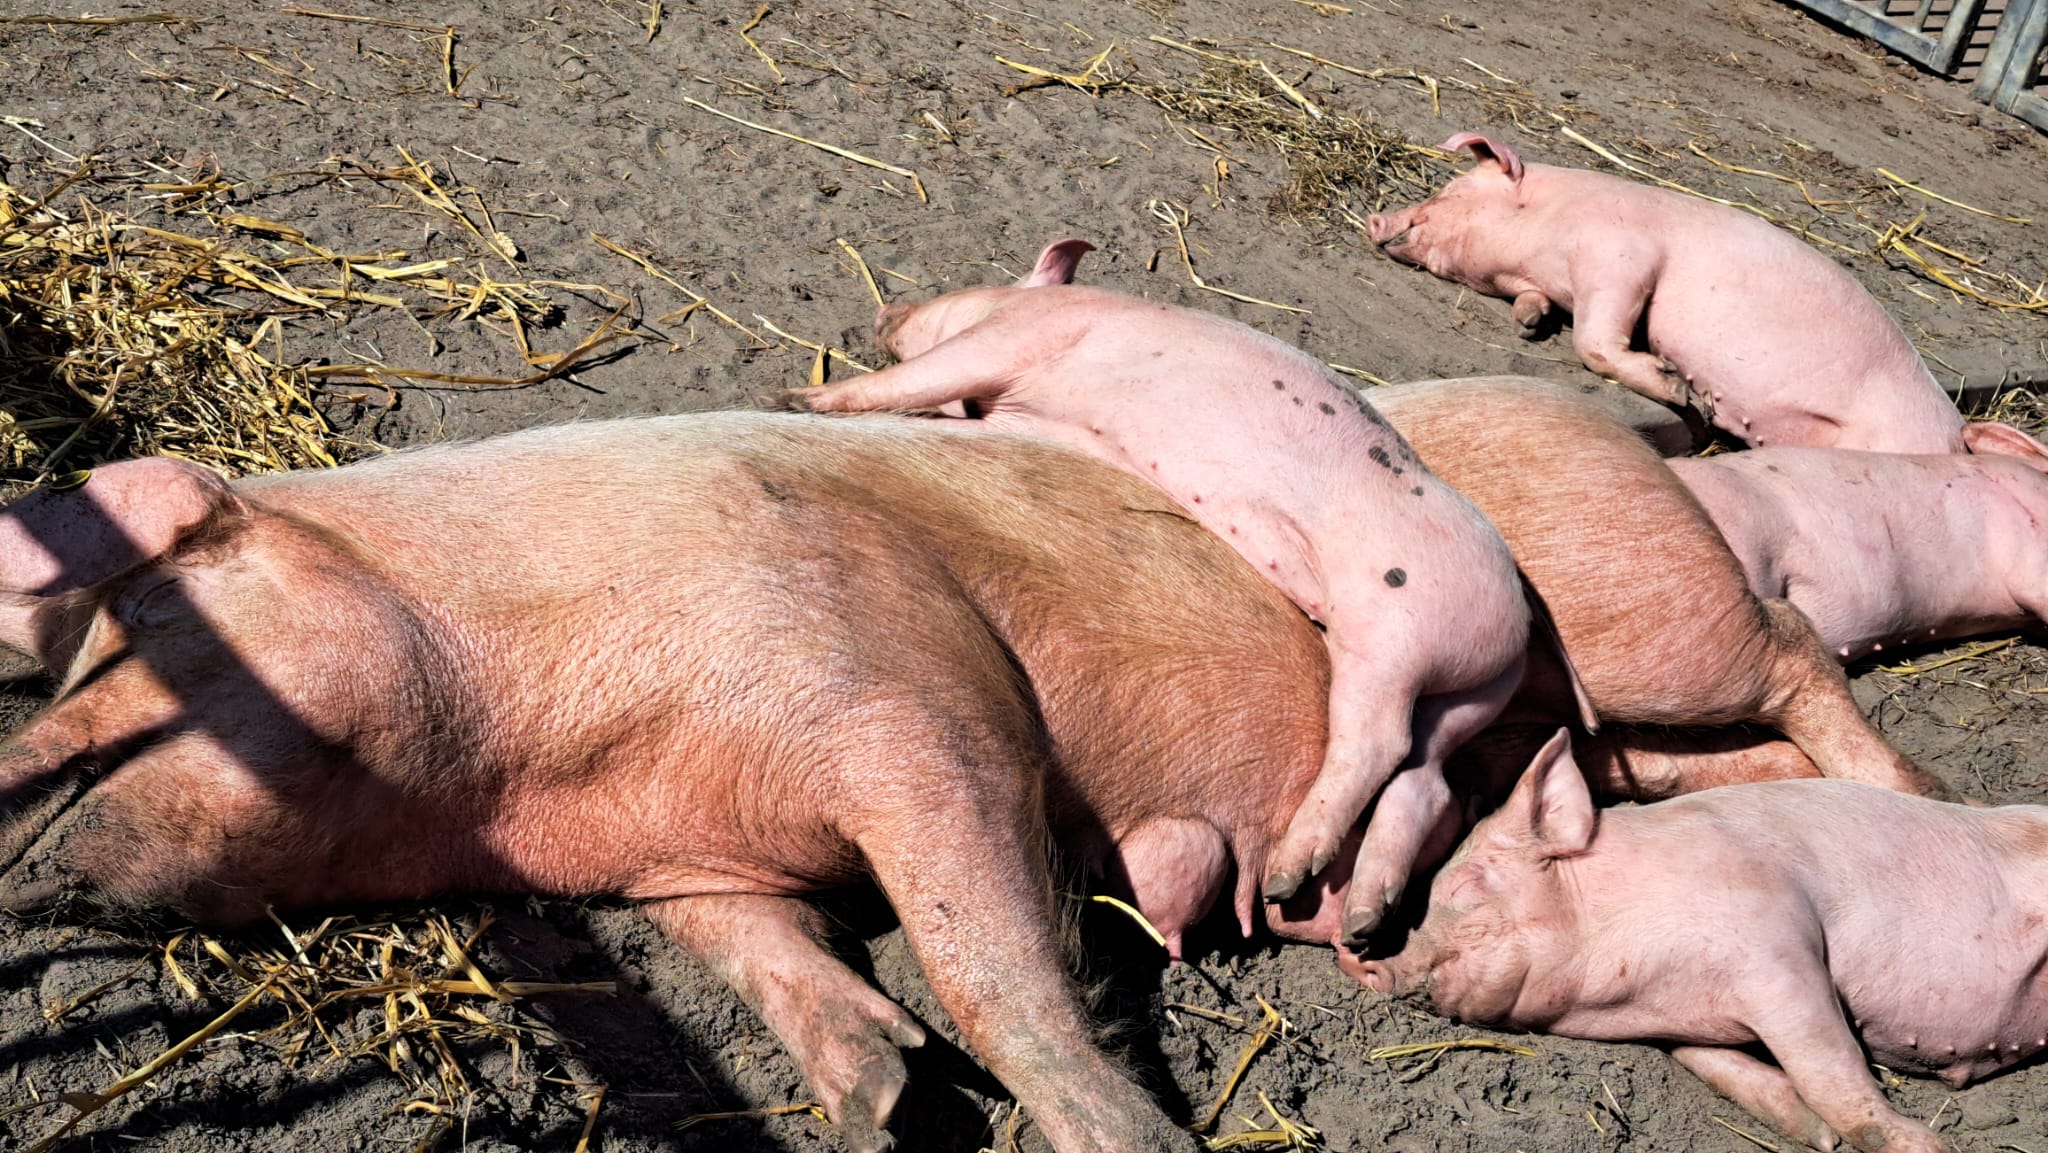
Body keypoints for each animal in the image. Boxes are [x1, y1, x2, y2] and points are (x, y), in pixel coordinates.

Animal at [0, 412, 1368, 1153]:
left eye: (142, 615)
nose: (10, 774)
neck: (531, 783)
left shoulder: (914, 692)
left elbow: (986, 964)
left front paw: (1125, 1137)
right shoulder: (682, 867)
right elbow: (764, 944)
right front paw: (880, 1097)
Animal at [793, 239, 1545, 943]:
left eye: (953, 290)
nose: (887, 309)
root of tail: (1515, 624)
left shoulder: (1015, 336)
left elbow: (914, 378)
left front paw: (802, 400)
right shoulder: (1021, 418)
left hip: (1393, 635)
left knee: (1377, 743)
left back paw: (1286, 876)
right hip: (1467, 696)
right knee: (1425, 775)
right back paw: (1363, 915)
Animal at [1359, 730, 2043, 1153]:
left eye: (1465, 886)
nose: (1366, 960)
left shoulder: (1780, 947)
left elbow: (1830, 1063)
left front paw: (1927, 1146)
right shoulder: (1689, 1024)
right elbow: (1729, 1067)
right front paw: (1814, 1134)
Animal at [1366, 133, 1966, 455]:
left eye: (1452, 188)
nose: (1374, 218)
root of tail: (1954, 435)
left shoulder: (1624, 259)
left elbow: (1597, 339)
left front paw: (1680, 390)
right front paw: (1529, 323)